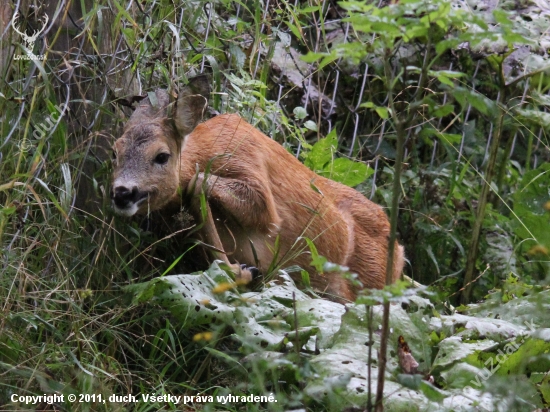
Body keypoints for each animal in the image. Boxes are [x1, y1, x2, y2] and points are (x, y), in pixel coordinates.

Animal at [112, 76, 406, 302]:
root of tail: (401, 253)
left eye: (162, 156)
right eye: (115, 151)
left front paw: (240, 272)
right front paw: (240, 271)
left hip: (368, 284)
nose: (122, 192)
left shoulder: (255, 181)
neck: (207, 150)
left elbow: (198, 185)